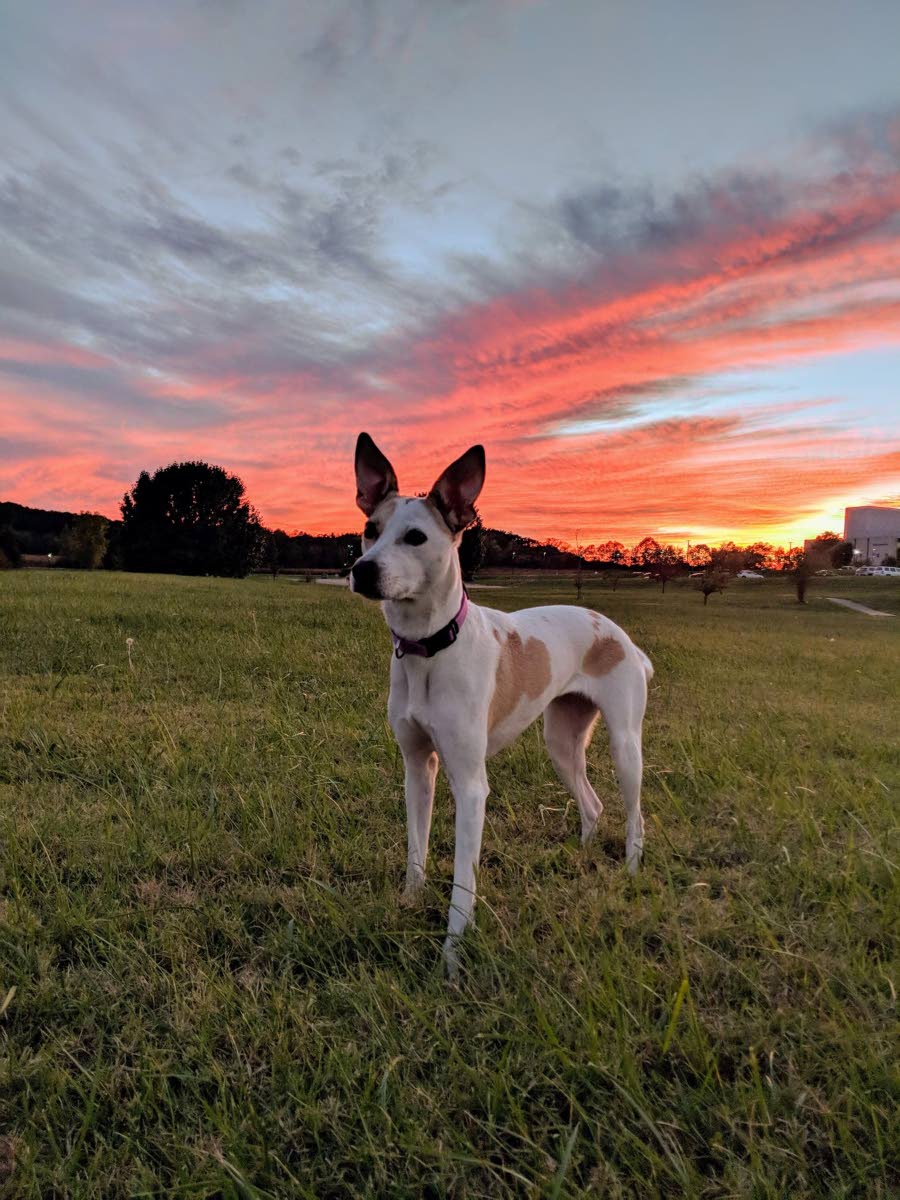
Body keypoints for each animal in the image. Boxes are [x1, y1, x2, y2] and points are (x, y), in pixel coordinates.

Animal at [348, 432, 652, 974]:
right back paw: (580, 853)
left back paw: (631, 870)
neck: (430, 649)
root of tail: (619, 634)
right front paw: (408, 902)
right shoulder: (417, 767)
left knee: (635, 814)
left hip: (624, 745)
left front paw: (451, 959)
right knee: (592, 803)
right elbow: (416, 850)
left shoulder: (470, 786)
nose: (362, 571)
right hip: (561, 742)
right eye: (370, 529)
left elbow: (462, 884)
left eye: (416, 538)